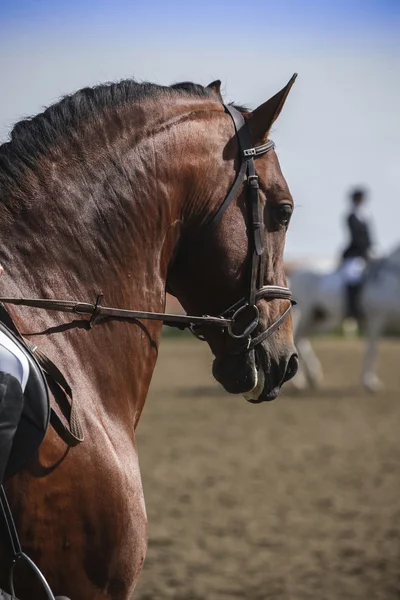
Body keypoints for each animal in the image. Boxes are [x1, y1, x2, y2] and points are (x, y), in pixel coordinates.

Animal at [290, 246, 400, 392]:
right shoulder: (376, 319)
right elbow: (372, 350)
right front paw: (369, 382)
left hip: (317, 318)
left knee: (301, 340)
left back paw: (309, 377)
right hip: (305, 315)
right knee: (298, 340)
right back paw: (304, 378)